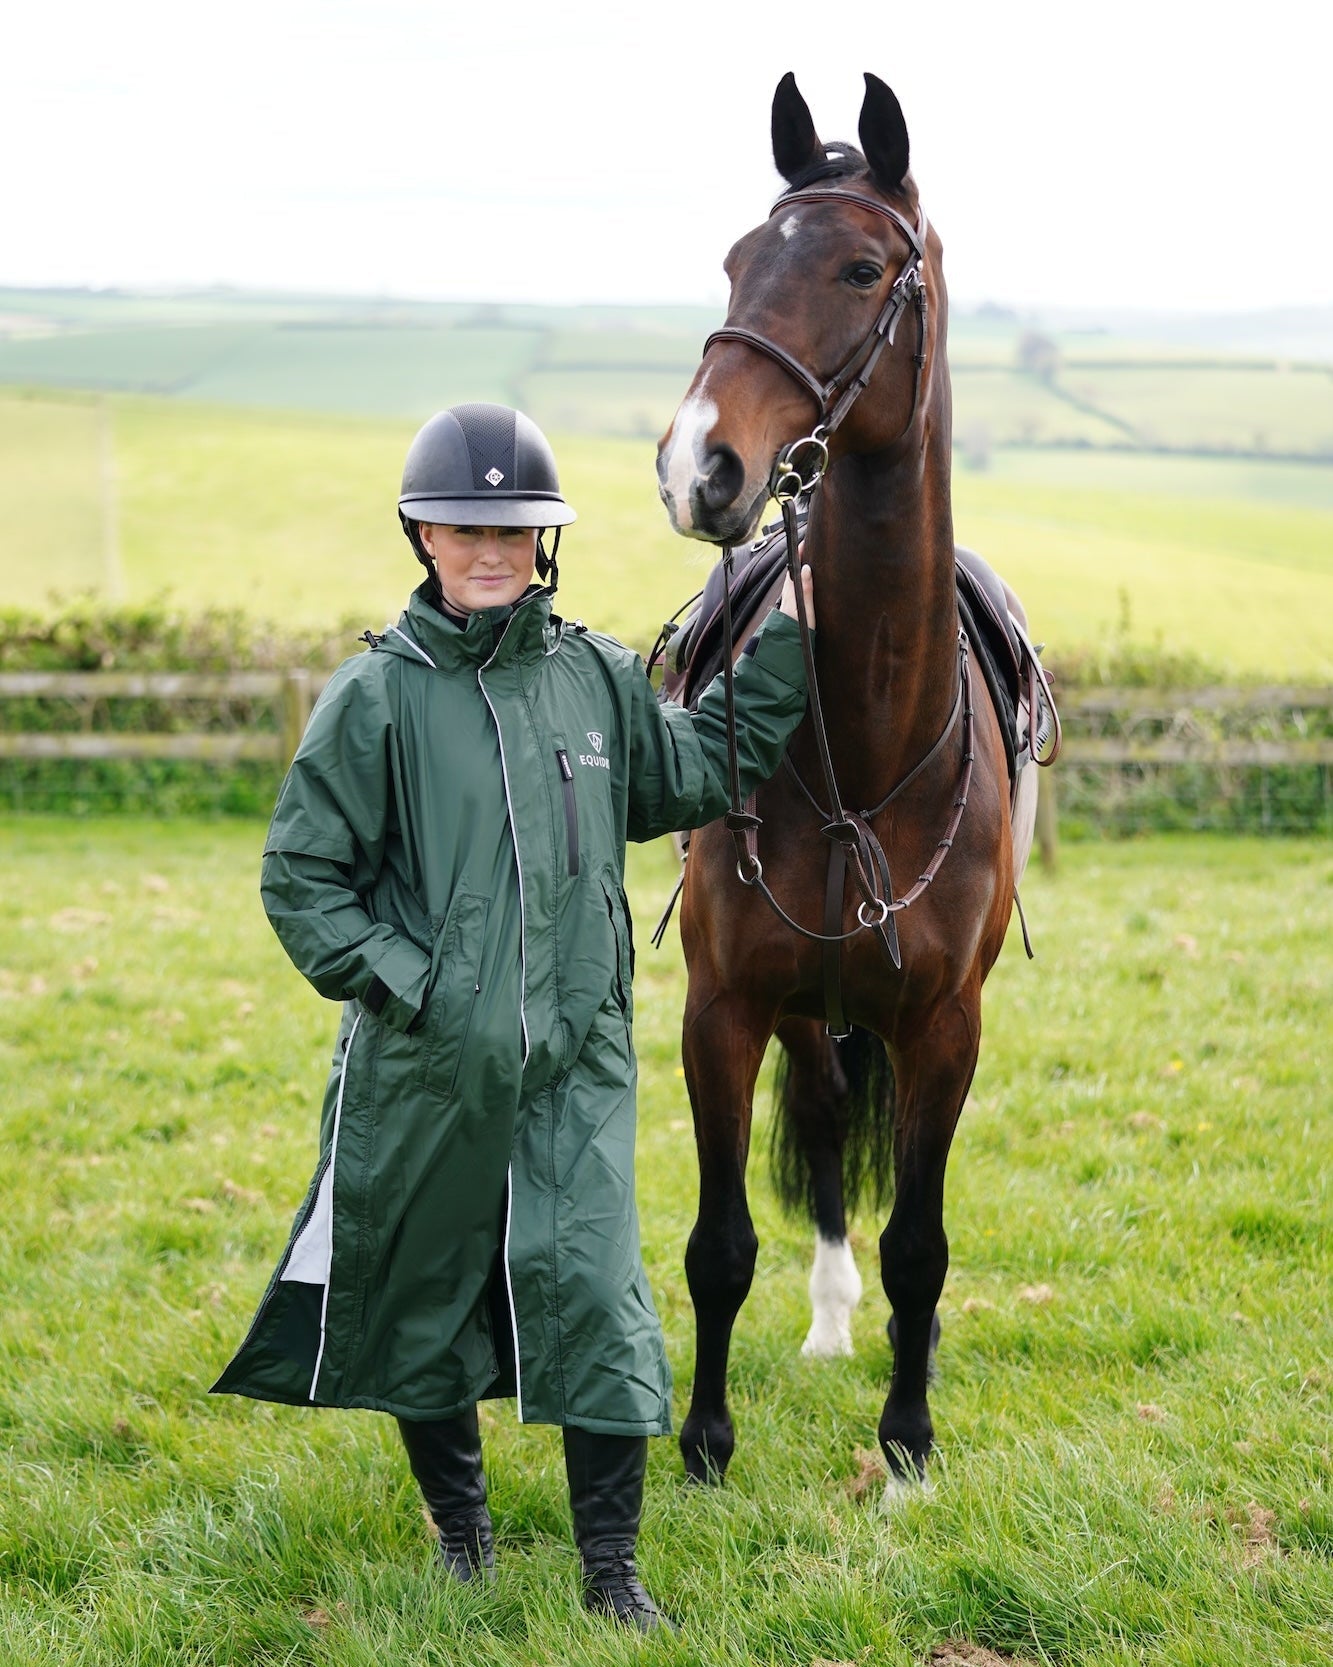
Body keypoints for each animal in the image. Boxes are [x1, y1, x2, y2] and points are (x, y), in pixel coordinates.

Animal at [655, 71, 1055, 1495]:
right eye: (735, 260)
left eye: (861, 266)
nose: (700, 464)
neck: (874, 749)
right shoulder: (721, 1009)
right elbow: (719, 1243)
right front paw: (704, 1442)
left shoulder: (945, 1026)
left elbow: (920, 1244)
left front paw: (909, 1437)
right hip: (799, 1006)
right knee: (826, 1121)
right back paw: (830, 1319)